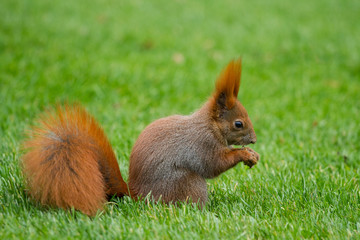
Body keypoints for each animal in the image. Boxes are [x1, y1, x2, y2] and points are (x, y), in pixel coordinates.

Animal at [21, 58, 258, 216]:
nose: (254, 140)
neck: (210, 125)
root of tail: (136, 193)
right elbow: (213, 165)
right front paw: (245, 154)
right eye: (238, 124)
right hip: (186, 183)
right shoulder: (202, 144)